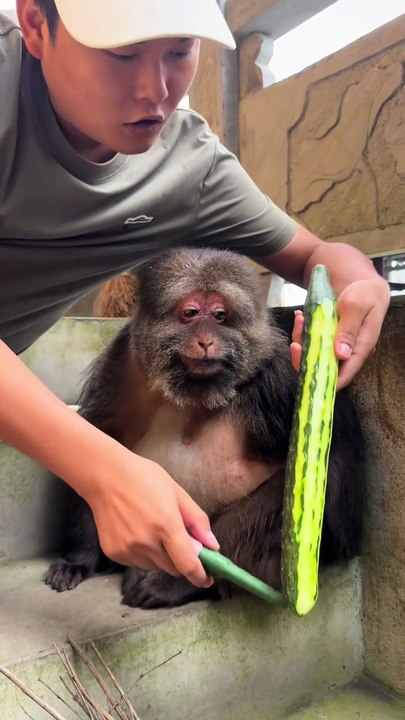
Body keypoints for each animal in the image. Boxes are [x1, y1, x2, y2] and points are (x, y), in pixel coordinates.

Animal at [45, 247, 365, 609]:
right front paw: (80, 557)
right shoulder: (123, 361)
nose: (206, 340)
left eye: (220, 315)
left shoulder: (279, 375)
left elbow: (330, 460)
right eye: (191, 313)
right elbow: (101, 439)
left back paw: (183, 582)